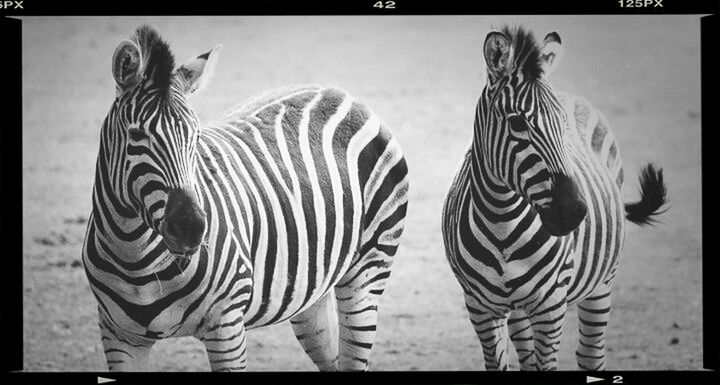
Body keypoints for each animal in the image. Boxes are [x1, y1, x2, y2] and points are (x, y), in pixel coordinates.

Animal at [81, 25, 408, 370]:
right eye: (136, 135)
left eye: (196, 136)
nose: (191, 229)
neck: (135, 257)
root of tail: (339, 93)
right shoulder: (119, 335)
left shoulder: (226, 326)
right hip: (312, 290)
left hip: (368, 272)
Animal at [442, 25, 668, 370]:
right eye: (517, 122)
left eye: (562, 124)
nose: (573, 212)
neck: (501, 222)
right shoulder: (479, 307)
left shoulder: (550, 304)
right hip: (518, 308)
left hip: (602, 282)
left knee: (590, 353)